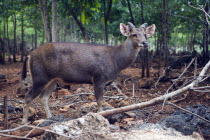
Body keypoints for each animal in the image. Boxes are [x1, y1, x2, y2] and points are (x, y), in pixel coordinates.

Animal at [21, 21, 155, 123]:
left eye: (145, 34)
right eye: (133, 34)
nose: (145, 43)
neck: (116, 61)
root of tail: (30, 55)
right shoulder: (98, 77)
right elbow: (99, 101)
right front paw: (101, 117)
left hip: (52, 79)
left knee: (43, 97)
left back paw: (50, 117)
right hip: (40, 76)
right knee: (28, 96)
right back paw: (24, 122)